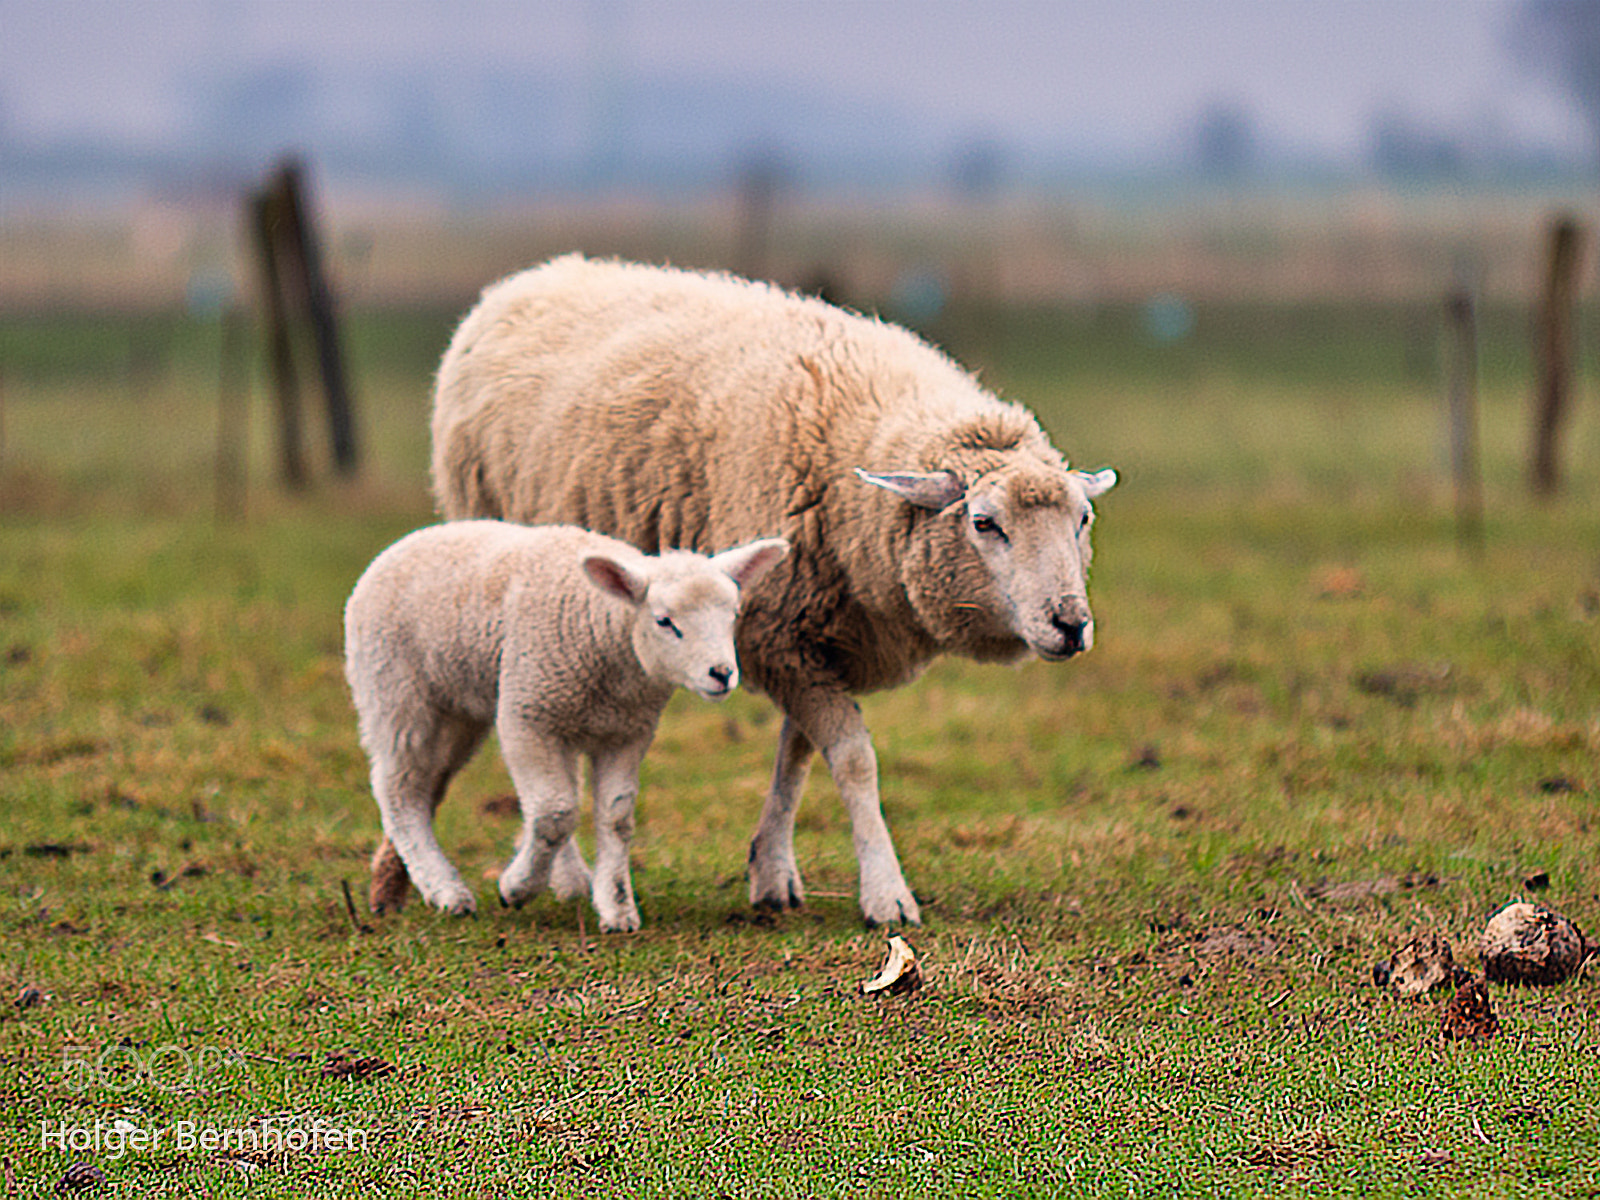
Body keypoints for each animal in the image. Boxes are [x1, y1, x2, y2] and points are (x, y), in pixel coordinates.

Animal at [345, 519, 789, 930]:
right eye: (665, 621)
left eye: (733, 615)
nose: (722, 674)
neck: (607, 634)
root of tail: (412, 538)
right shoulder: (527, 717)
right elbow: (554, 813)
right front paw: (517, 888)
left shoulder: (627, 732)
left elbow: (616, 816)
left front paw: (617, 907)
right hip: (397, 693)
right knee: (398, 789)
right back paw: (446, 891)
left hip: (458, 712)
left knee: (425, 786)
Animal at [426, 254, 1118, 926]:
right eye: (983, 523)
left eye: (1083, 519)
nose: (1070, 624)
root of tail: (530, 278)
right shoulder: (780, 633)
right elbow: (853, 760)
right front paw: (886, 894)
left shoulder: (812, 639)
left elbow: (798, 755)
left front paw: (772, 871)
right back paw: (564, 876)